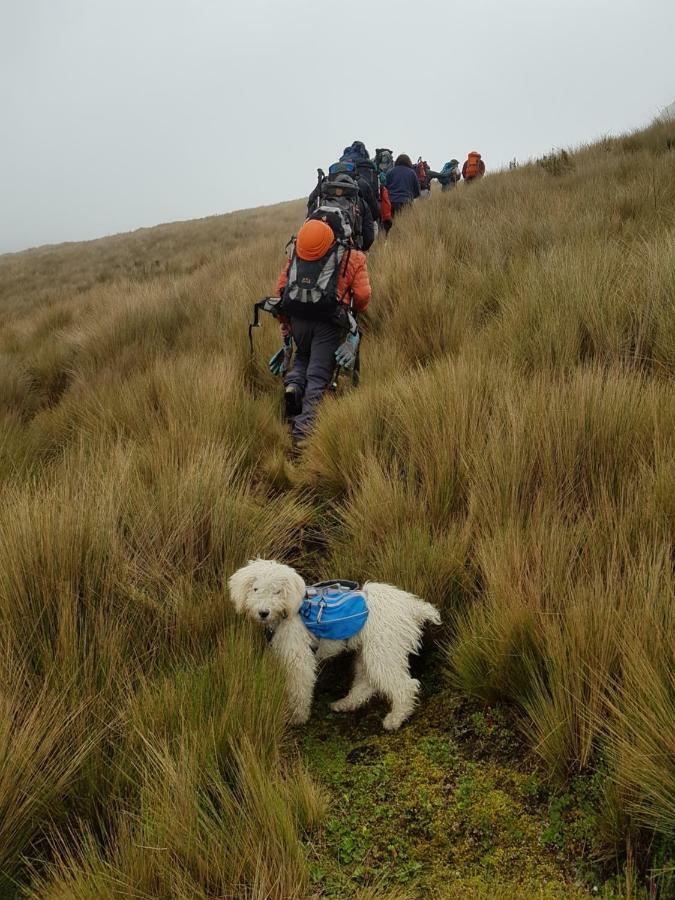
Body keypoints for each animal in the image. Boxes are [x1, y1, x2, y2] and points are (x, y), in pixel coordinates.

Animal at [230, 564, 440, 732]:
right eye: (255, 588)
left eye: (277, 591)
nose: (263, 612)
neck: (289, 611)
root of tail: (412, 606)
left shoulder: (299, 660)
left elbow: (299, 689)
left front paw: (297, 717)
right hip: (370, 651)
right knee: (366, 683)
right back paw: (346, 703)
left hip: (384, 649)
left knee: (405, 686)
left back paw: (395, 719)